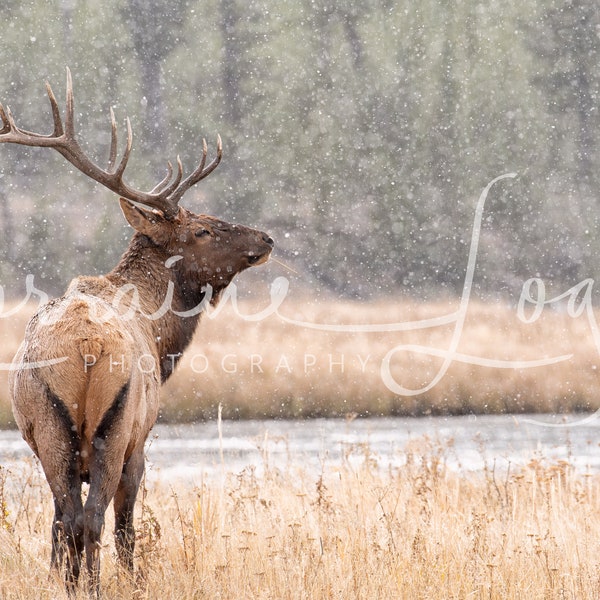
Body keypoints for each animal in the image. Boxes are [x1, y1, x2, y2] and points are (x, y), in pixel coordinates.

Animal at [1, 70, 274, 596]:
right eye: (202, 230)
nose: (266, 238)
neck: (158, 329)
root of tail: (86, 347)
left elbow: (53, 526)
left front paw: (58, 579)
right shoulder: (141, 440)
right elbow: (127, 526)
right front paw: (134, 581)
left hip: (50, 430)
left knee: (68, 518)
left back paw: (75, 585)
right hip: (117, 425)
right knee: (94, 519)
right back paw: (96, 585)